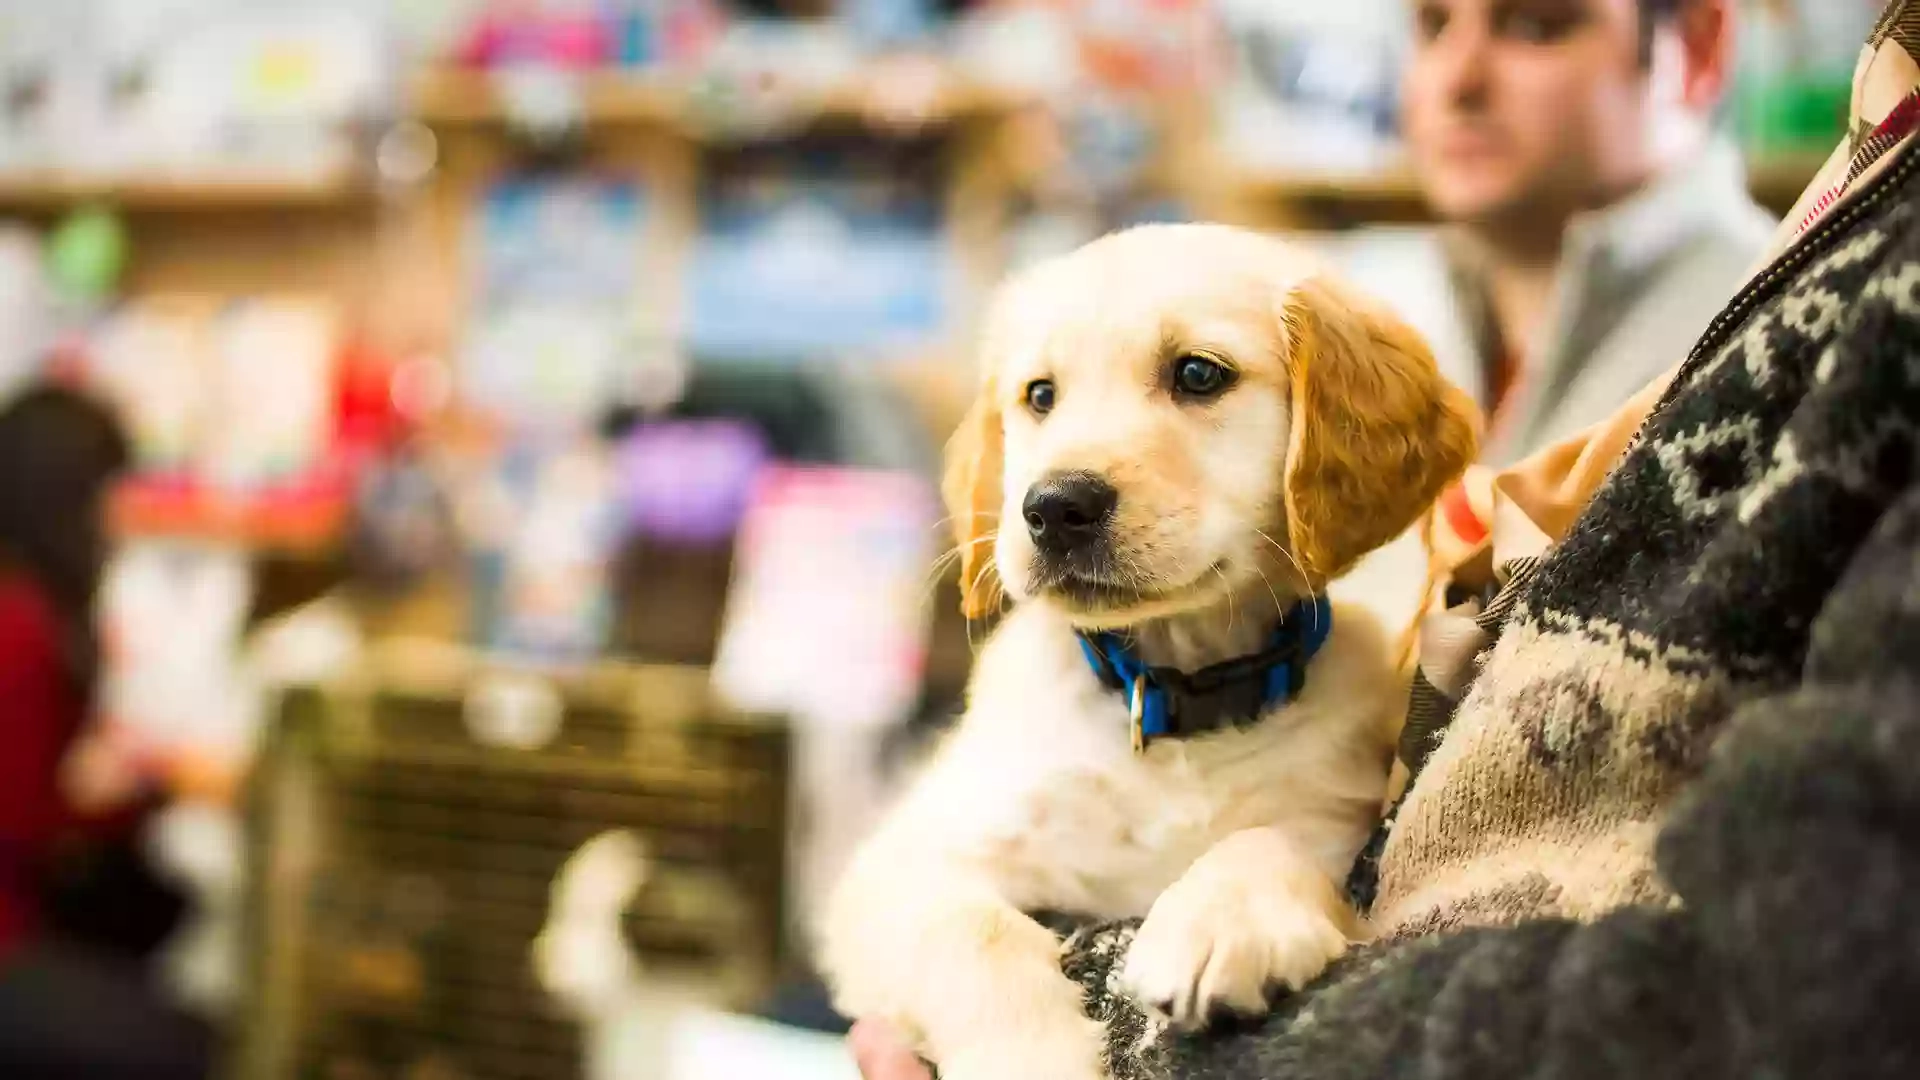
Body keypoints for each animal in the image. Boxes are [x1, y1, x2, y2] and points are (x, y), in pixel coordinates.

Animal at [817, 222, 1474, 1068]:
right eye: (1040, 396)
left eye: (1197, 374)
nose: (1053, 508)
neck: (1174, 690)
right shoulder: (896, 869)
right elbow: (975, 930)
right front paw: (1035, 1058)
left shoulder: (1340, 824)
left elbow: (1274, 840)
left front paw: (1223, 920)